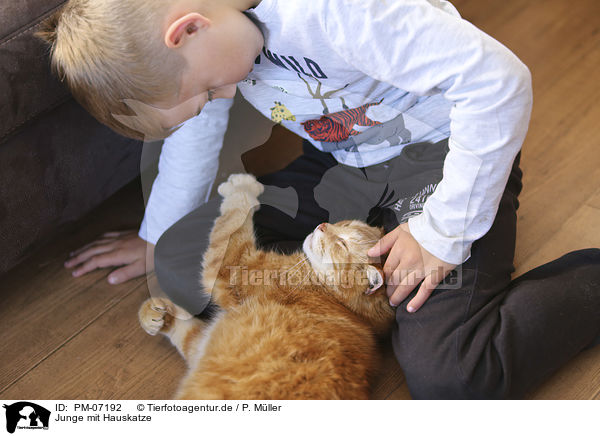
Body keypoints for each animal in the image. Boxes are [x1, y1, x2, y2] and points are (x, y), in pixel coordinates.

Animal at [138, 173, 396, 398]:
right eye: (343, 223)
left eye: (342, 243)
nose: (322, 224)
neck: (330, 296)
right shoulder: (203, 344)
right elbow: (187, 333)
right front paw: (158, 315)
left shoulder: (236, 263)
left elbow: (234, 216)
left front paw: (242, 185)